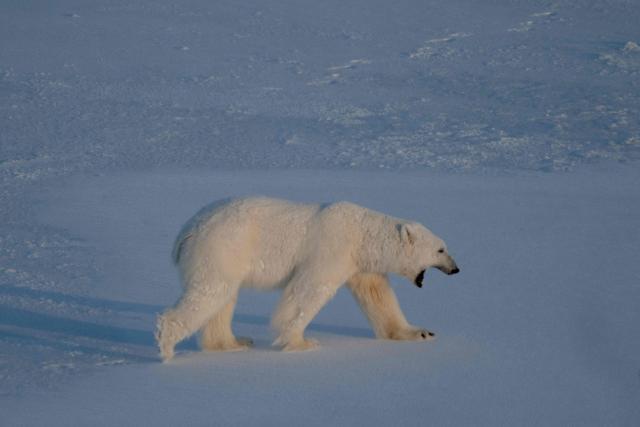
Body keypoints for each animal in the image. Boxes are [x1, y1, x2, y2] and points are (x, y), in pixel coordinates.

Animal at [156, 197, 459, 361]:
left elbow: (378, 296)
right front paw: (302, 342)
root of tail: (186, 230)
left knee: (223, 298)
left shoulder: (361, 264)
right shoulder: (333, 248)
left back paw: (233, 343)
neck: (362, 234)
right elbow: (308, 290)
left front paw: (421, 333)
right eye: (441, 249)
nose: (456, 269)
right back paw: (167, 345)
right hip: (222, 247)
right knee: (210, 292)